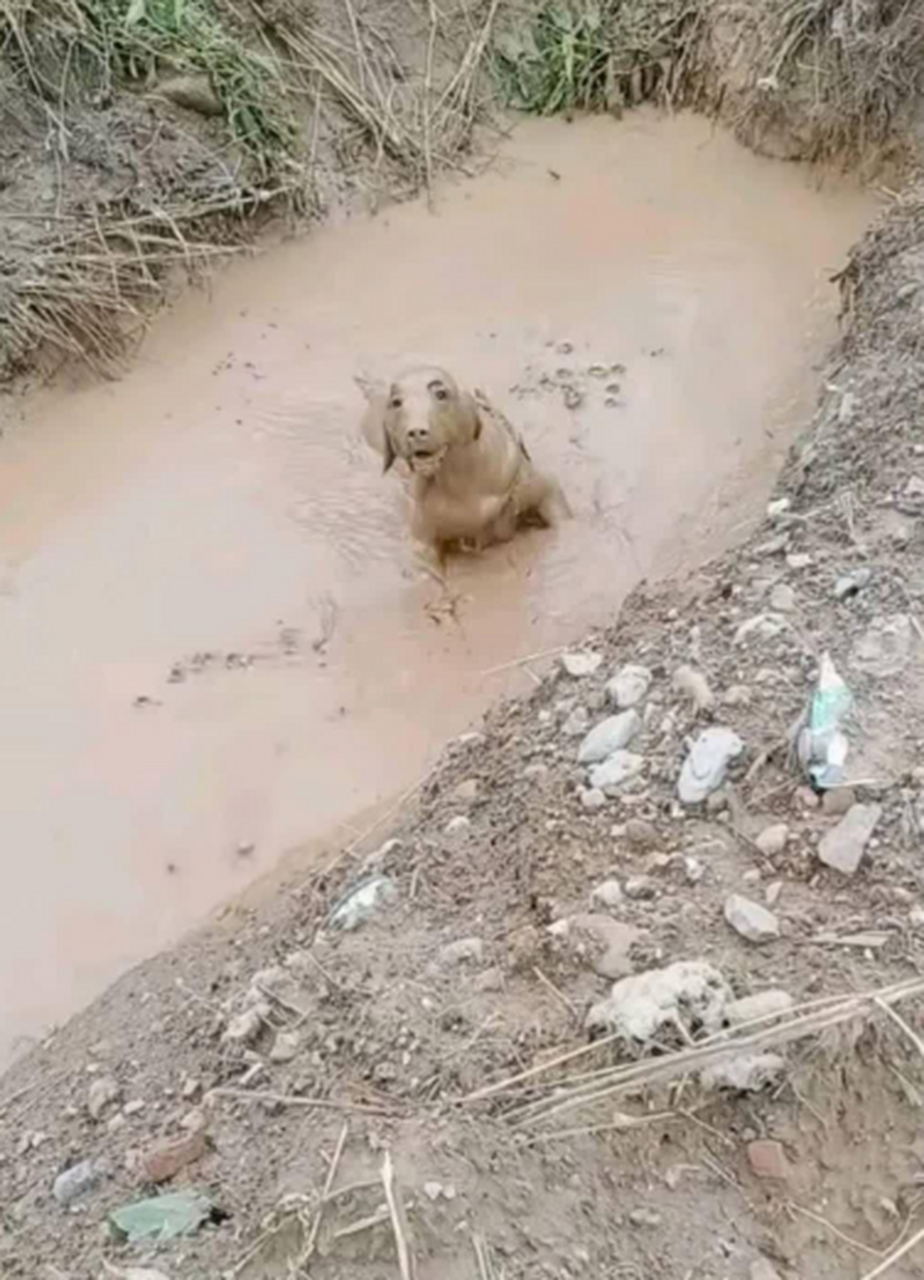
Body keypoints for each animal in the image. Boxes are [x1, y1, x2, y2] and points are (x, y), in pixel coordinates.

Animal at [355, 366, 565, 555]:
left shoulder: (537, 485)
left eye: (441, 394)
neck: (461, 487)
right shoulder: (422, 531)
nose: (415, 432)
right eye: (397, 402)